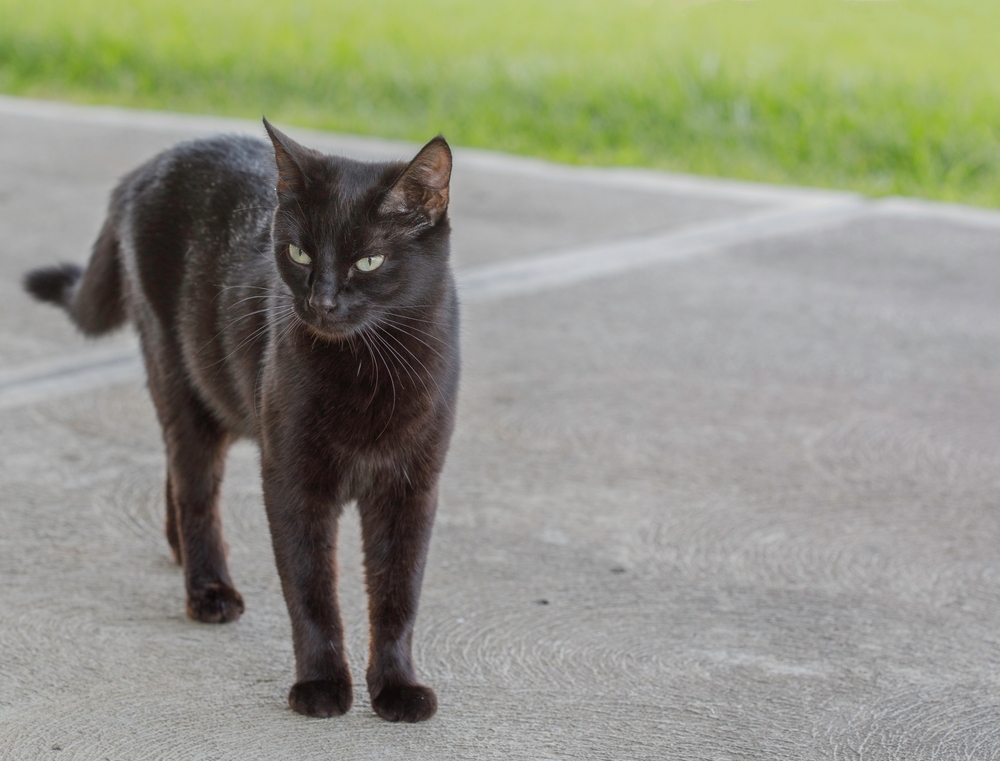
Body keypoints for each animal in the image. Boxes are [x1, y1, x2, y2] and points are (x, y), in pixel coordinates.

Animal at [24, 121, 460, 720]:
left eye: (368, 262)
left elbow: (398, 595)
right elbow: (311, 591)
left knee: (176, 470)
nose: (321, 302)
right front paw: (321, 685)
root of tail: (146, 168)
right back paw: (208, 589)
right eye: (299, 253)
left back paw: (180, 553)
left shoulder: (411, 489)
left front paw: (397, 688)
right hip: (182, 381)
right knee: (195, 488)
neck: (365, 369)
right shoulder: (292, 481)